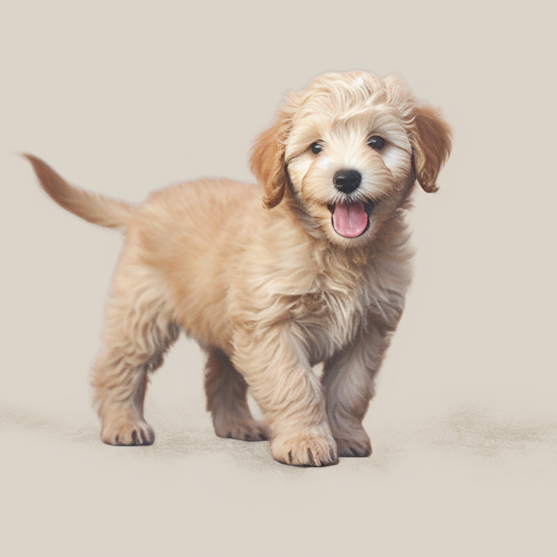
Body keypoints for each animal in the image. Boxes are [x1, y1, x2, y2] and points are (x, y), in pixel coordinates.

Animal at [27, 71, 452, 466]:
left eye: (377, 142)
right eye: (316, 147)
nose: (346, 178)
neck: (336, 252)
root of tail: (143, 208)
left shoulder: (366, 332)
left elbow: (349, 391)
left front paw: (345, 436)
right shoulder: (271, 326)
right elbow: (296, 385)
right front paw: (305, 441)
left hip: (226, 326)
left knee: (221, 376)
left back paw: (236, 425)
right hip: (140, 313)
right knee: (117, 367)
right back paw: (122, 424)